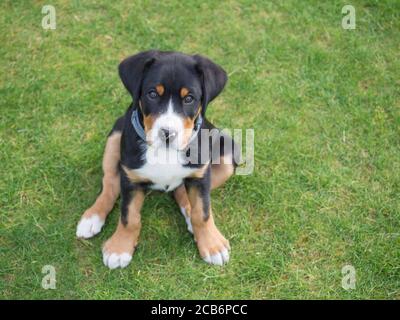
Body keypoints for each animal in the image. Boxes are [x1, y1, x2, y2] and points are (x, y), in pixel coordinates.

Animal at [75, 51, 239, 268]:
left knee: (181, 192)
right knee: (110, 183)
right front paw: (119, 248)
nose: (167, 133)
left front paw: (212, 245)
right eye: (152, 94)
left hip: (228, 152)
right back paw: (92, 217)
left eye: (189, 98)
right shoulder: (131, 178)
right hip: (116, 134)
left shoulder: (201, 175)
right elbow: (129, 216)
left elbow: (202, 213)